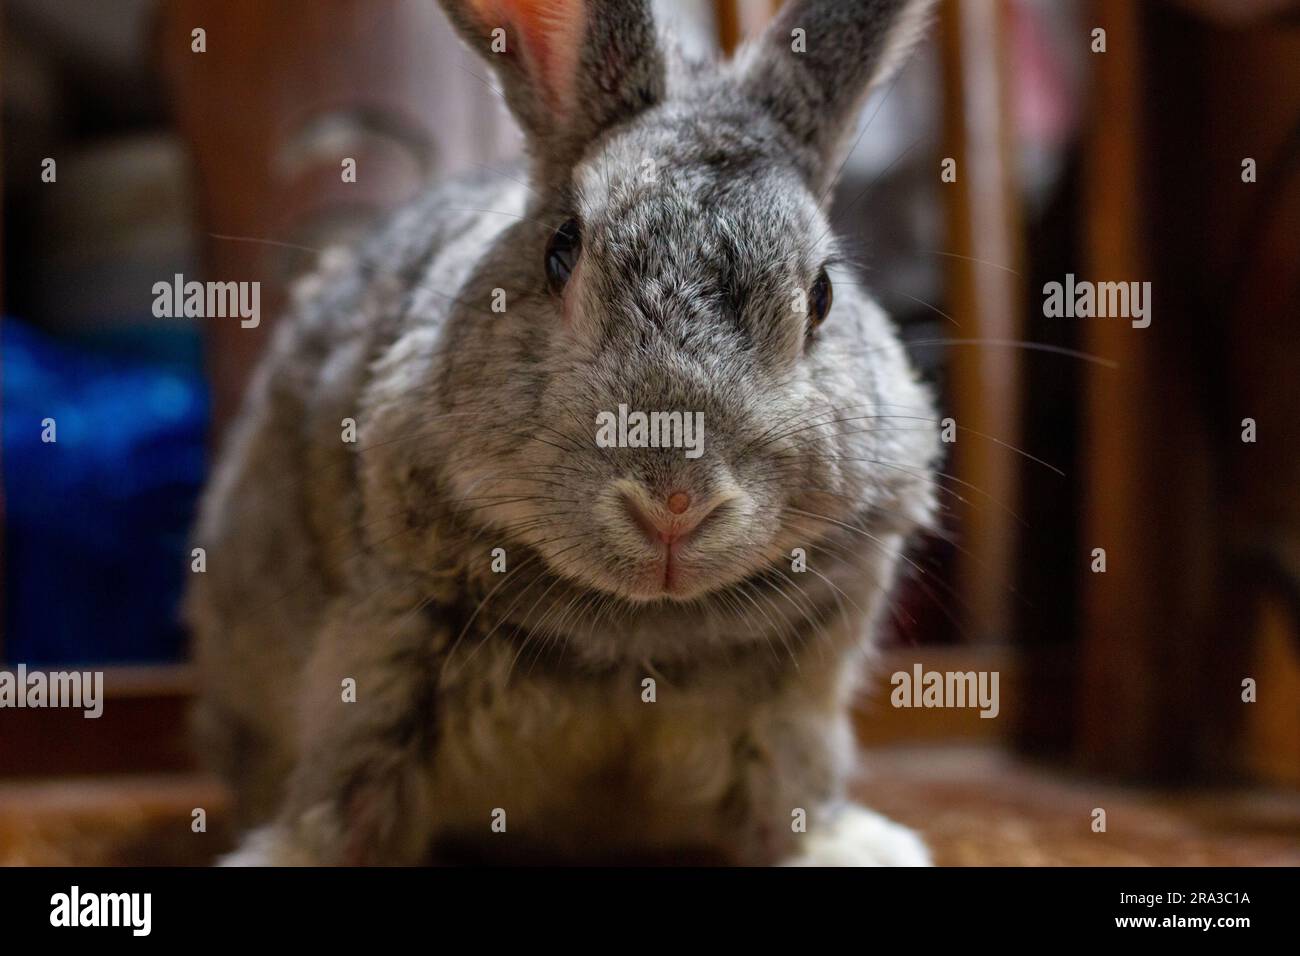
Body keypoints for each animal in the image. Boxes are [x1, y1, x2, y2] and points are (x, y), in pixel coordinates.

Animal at [188, 0, 941, 868]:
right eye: (561, 251)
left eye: (821, 294)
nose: (675, 503)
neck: (639, 626)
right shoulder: (385, 654)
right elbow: (353, 786)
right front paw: (296, 855)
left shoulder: (799, 691)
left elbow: (788, 786)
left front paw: (842, 847)